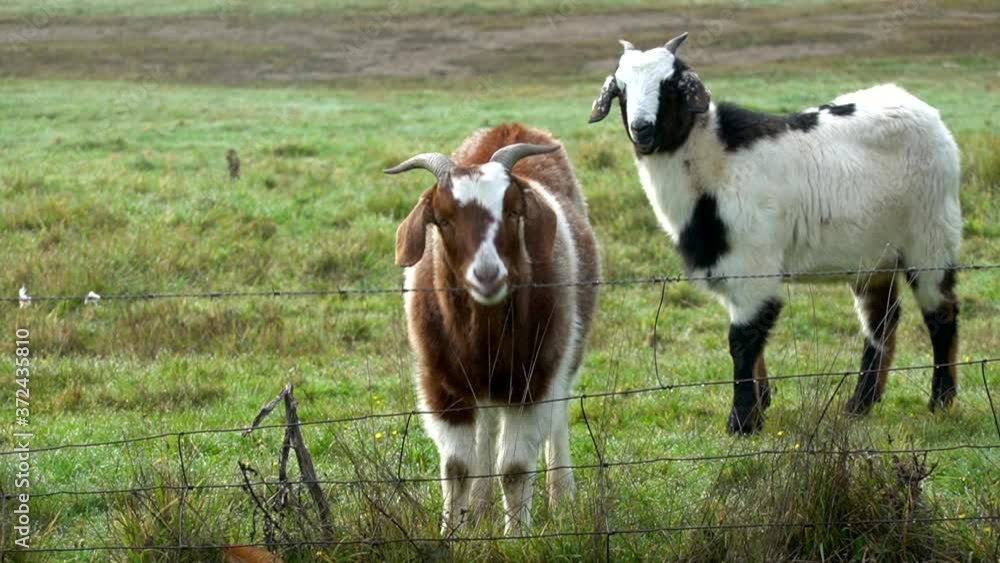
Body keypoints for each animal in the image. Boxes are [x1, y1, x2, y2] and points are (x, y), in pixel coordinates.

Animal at [385, 123, 600, 534]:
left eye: (515, 213)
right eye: (443, 219)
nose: (487, 275)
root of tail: (512, 127)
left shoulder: (533, 381)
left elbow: (514, 469)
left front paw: (517, 536)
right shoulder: (442, 386)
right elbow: (456, 467)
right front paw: (451, 534)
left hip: (566, 355)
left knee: (558, 416)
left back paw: (561, 495)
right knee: (485, 429)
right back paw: (480, 507)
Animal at [589, 33, 962, 434]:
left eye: (670, 84)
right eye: (621, 89)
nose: (641, 129)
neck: (714, 163)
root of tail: (926, 113)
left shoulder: (752, 262)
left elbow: (743, 339)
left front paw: (742, 420)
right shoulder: (731, 266)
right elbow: (751, 340)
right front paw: (760, 405)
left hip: (930, 236)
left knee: (940, 313)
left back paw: (941, 400)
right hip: (874, 255)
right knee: (881, 319)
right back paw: (859, 403)